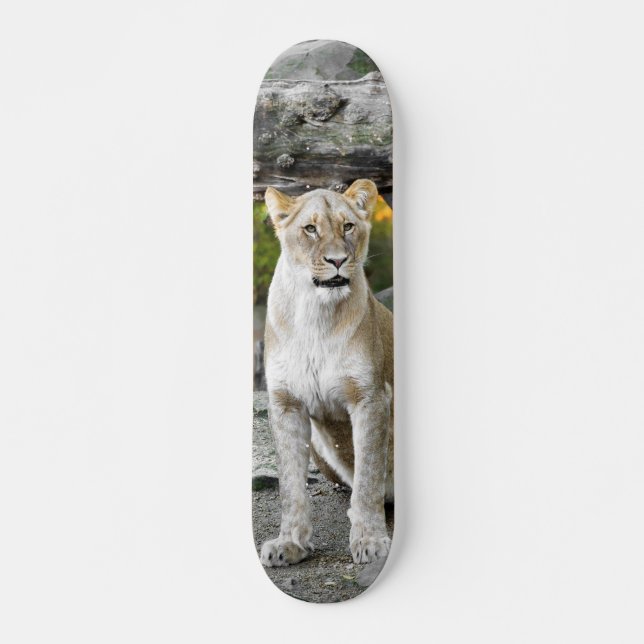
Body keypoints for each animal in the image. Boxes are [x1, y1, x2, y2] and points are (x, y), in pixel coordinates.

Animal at [259, 179, 394, 567]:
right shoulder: (285, 403)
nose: (337, 260)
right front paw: (289, 544)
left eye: (347, 226)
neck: (315, 315)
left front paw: (370, 539)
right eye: (310, 229)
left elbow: (368, 477)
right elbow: (290, 484)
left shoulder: (371, 398)